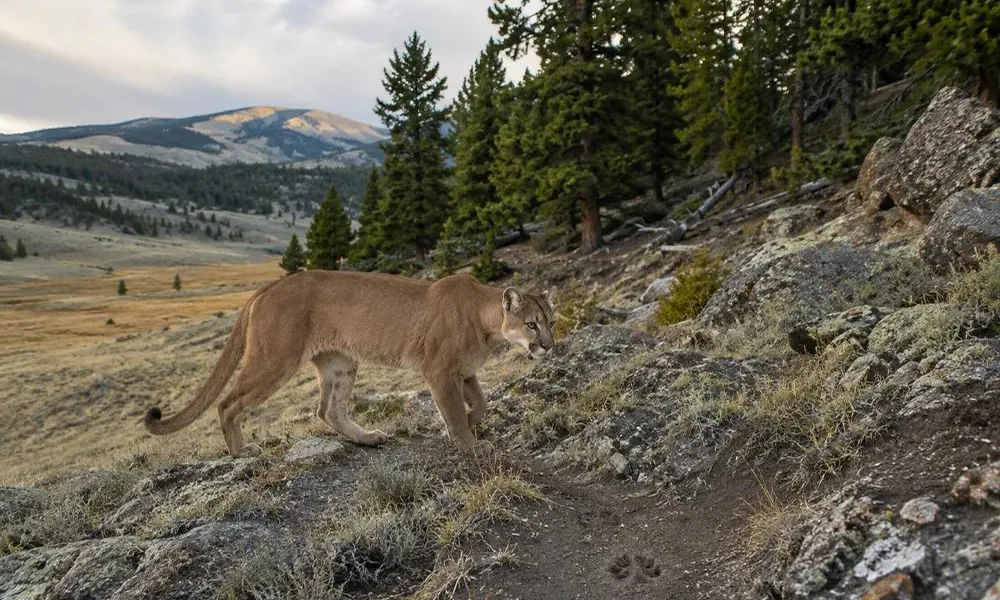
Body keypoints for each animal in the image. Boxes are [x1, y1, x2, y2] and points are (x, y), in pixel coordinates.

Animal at [143, 271, 556, 457]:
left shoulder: (463, 371)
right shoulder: (439, 371)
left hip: (341, 362)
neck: (487, 322)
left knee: (328, 409)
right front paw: (468, 443)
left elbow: (481, 403)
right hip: (276, 359)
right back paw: (242, 452)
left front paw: (472, 422)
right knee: (228, 403)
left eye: (551, 321)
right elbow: (453, 411)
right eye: (532, 324)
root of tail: (270, 285)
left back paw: (367, 437)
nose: (549, 346)